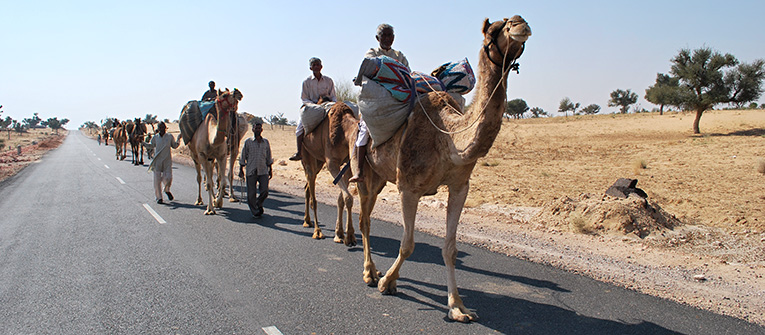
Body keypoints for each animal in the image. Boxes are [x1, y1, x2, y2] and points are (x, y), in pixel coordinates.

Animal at [298, 101, 358, 244]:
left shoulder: (347, 165)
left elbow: (343, 198)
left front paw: (340, 233)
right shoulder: (332, 163)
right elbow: (348, 197)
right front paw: (350, 236)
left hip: (319, 162)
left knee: (308, 187)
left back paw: (307, 221)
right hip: (306, 153)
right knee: (313, 194)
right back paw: (317, 231)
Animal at [338, 16, 528, 322]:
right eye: (494, 29)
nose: (521, 24)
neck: (448, 137)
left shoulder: (460, 187)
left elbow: (450, 249)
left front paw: (458, 307)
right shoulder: (408, 187)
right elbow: (408, 244)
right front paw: (387, 282)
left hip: (380, 178)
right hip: (366, 172)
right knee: (365, 219)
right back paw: (370, 272)